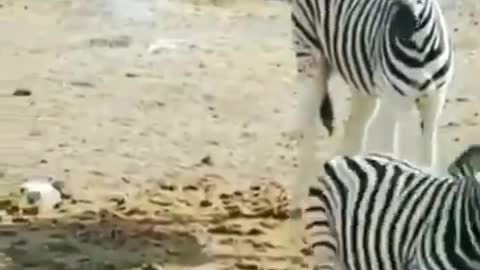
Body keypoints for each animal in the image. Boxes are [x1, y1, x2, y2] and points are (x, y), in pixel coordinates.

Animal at [288, 0, 454, 212]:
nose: (402, 27)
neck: (420, 50)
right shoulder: (392, 103)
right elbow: (391, 157)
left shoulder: (434, 101)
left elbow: (427, 157)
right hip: (311, 60)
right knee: (308, 127)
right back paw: (298, 200)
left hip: (361, 85)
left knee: (353, 129)